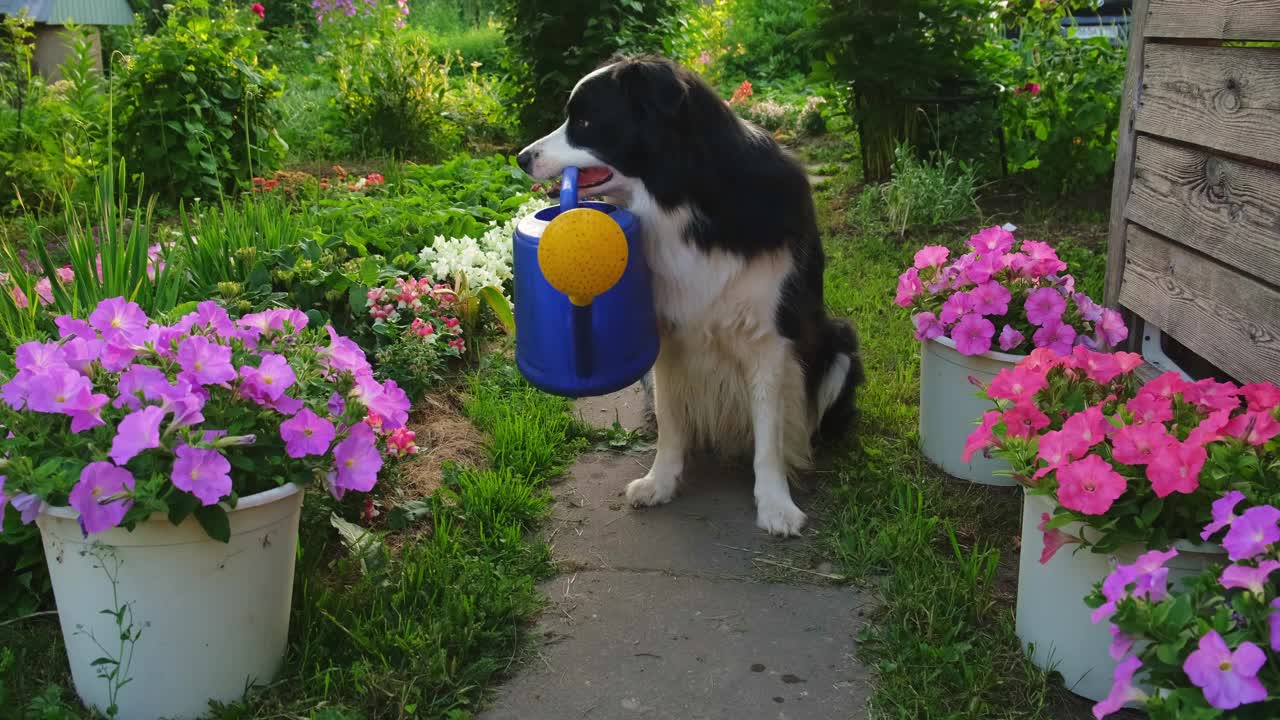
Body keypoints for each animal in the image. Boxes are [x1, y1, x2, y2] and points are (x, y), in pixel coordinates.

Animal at [514, 54, 865, 532]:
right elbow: (670, 418)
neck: (685, 197)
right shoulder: (663, 333)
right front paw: (660, 482)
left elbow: (770, 432)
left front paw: (775, 505)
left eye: (584, 121)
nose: (520, 158)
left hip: (839, 345)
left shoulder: (770, 337)